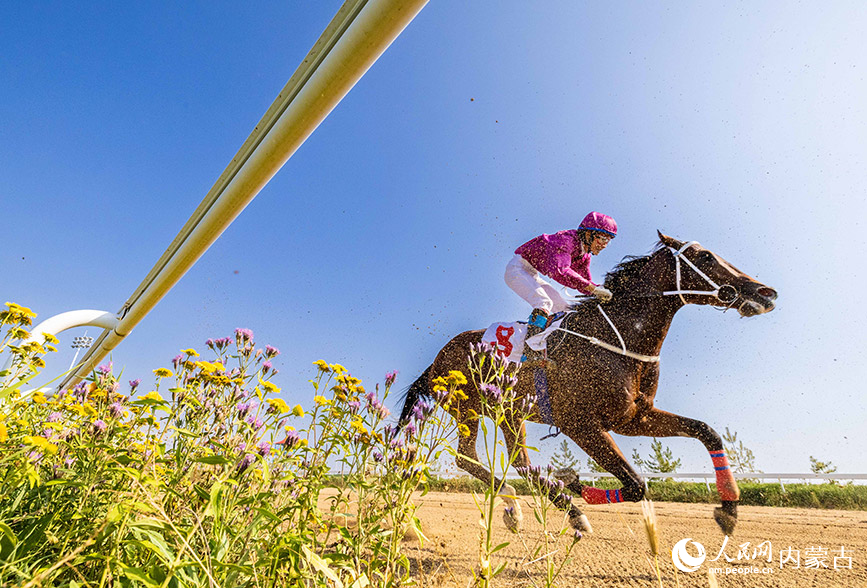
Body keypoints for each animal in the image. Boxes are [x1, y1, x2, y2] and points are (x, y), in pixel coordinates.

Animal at [400, 232, 780, 536]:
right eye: (705, 257)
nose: (766, 292)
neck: (618, 340)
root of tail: (436, 360)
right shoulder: (579, 423)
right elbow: (636, 484)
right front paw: (572, 482)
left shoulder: (634, 417)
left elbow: (706, 431)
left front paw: (729, 508)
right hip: (468, 408)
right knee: (470, 459)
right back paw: (537, 507)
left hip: (508, 413)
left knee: (516, 462)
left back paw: (518, 509)